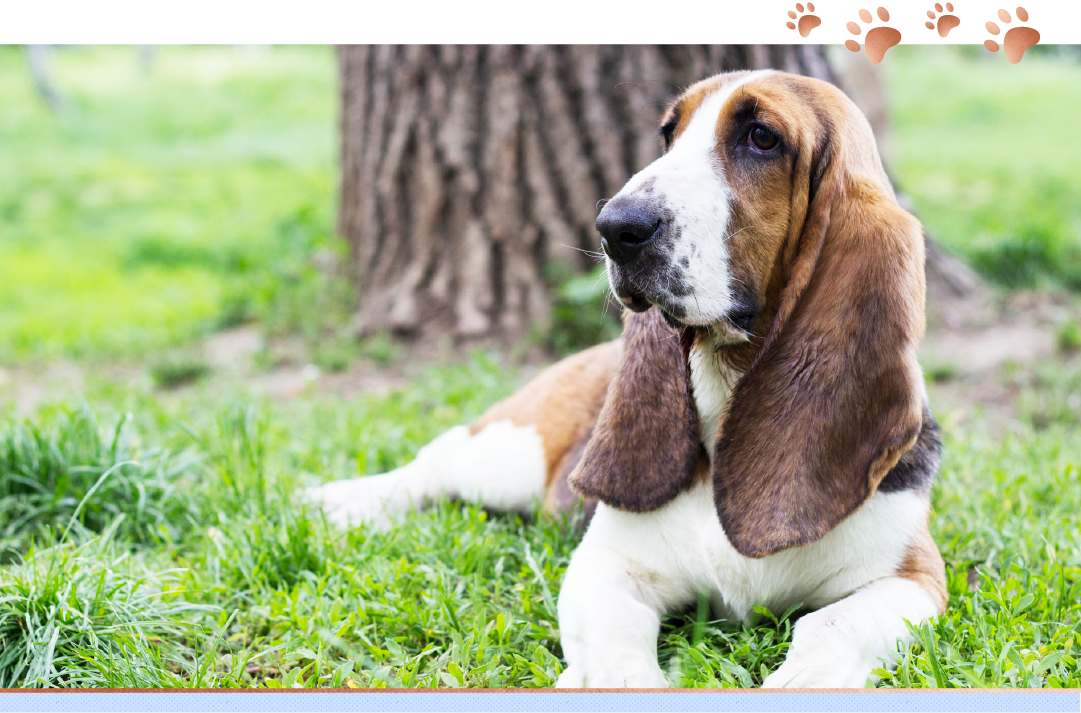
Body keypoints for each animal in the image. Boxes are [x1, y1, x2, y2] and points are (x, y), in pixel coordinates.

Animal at [307, 69, 946, 687]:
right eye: (669, 134)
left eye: (762, 137)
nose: (614, 227)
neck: (723, 386)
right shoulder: (606, 566)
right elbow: (618, 639)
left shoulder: (914, 579)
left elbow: (831, 625)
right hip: (510, 455)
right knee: (436, 461)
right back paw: (341, 501)